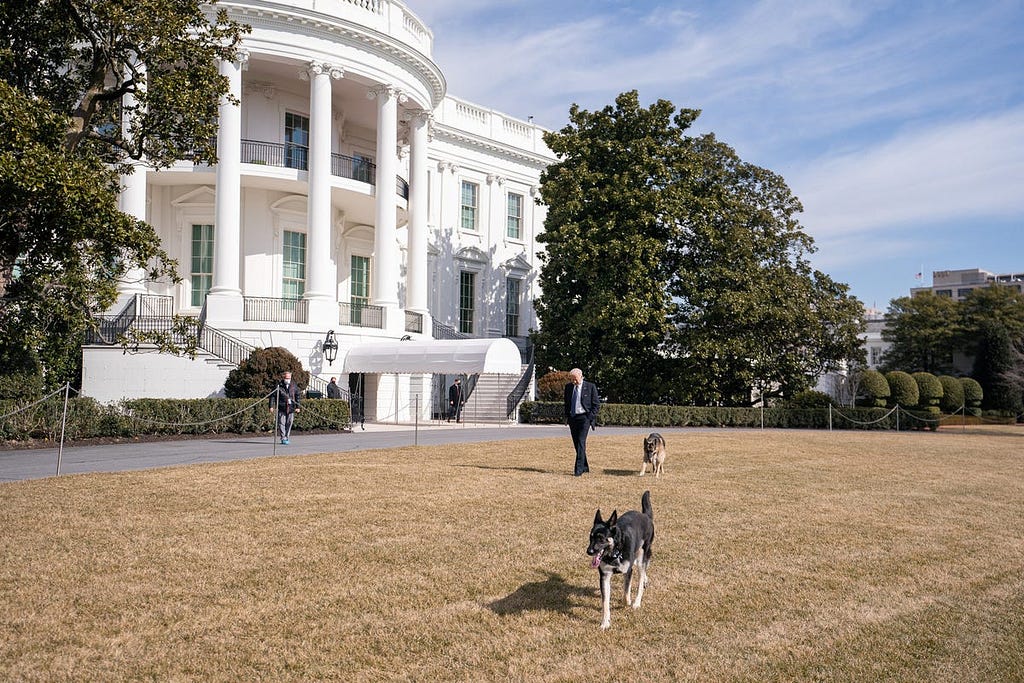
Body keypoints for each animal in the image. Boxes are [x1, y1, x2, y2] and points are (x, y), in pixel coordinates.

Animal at [589, 491, 651, 630]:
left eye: (601, 538)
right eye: (590, 537)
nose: (589, 551)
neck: (615, 552)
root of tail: (646, 516)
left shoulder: (628, 571)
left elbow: (626, 592)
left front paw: (626, 602)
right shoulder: (605, 576)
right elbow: (605, 602)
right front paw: (605, 622)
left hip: (642, 556)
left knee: (641, 577)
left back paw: (636, 602)